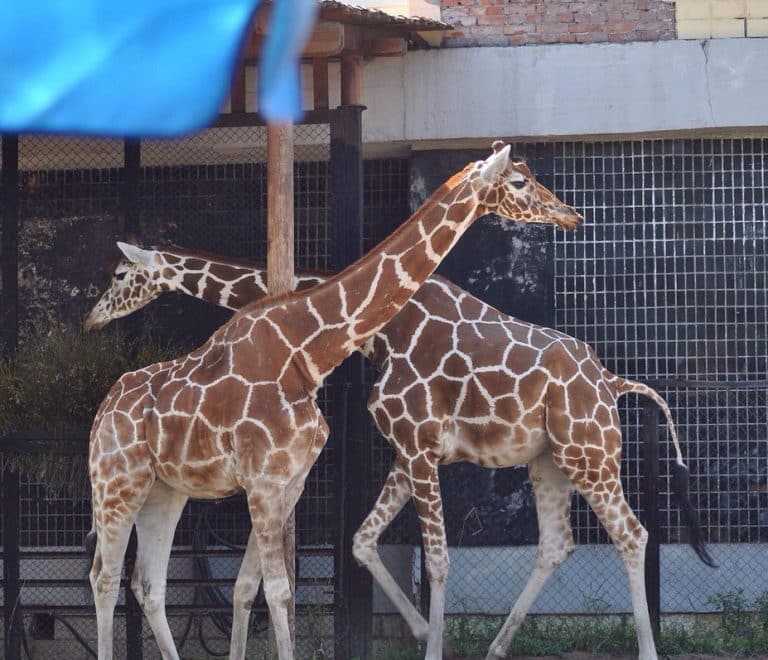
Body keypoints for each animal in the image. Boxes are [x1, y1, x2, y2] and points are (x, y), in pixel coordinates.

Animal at [85, 169, 712, 660]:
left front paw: (433, 642)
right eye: (520, 180)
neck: (376, 335)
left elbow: (428, 559)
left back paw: (643, 649)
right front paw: (432, 637)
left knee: (631, 534)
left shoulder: (412, 444)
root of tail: (612, 382)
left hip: (589, 455)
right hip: (550, 462)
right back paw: (496, 646)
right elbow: (360, 545)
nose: (571, 215)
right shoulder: (406, 447)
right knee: (559, 542)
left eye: (118, 275)